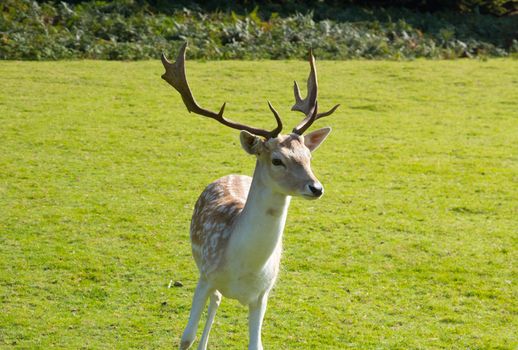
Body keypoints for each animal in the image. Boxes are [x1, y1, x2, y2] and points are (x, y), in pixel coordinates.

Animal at [162, 42, 342, 348]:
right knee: (216, 300)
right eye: (277, 160)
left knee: (218, 301)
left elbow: (256, 345)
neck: (244, 268)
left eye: (308, 156)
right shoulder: (206, 275)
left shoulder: (262, 294)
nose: (316, 188)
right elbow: (185, 337)